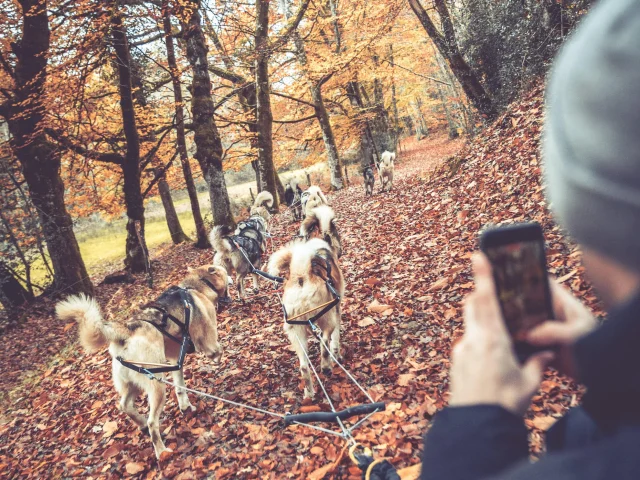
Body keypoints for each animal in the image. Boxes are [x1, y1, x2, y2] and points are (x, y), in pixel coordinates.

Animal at [54, 266, 228, 458]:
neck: (194, 287)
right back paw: (161, 451)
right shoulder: (208, 342)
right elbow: (218, 350)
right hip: (157, 387)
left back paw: (141, 423)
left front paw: (185, 406)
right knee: (153, 423)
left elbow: (180, 388)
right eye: (226, 271)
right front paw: (218, 360)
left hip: (134, 384)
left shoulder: (176, 360)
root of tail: (127, 331)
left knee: (124, 406)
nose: (232, 278)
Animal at [266, 238, 344, 400]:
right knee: (324, 342)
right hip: (327, 318)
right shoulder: (336, 310)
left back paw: (309, 393)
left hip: (296, 332)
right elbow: (335, 340)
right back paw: (326, 366)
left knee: (303, 366)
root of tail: (301, 276)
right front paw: (337, 355)